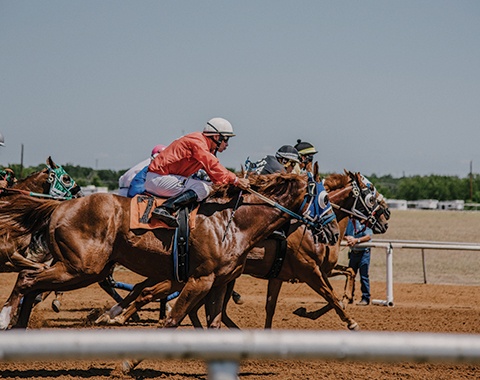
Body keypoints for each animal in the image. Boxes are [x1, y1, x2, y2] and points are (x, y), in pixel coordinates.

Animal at [0, 172, 340, 330]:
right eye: (325, 199)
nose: (335, 234)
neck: (233, 222)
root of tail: (61, 206)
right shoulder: (200, 279)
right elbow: (174, 315)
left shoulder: (217, 282)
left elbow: (215, 320)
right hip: (82, 268)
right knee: (28, 280)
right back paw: (7, 319)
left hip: (79, 267)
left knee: (32, 282)